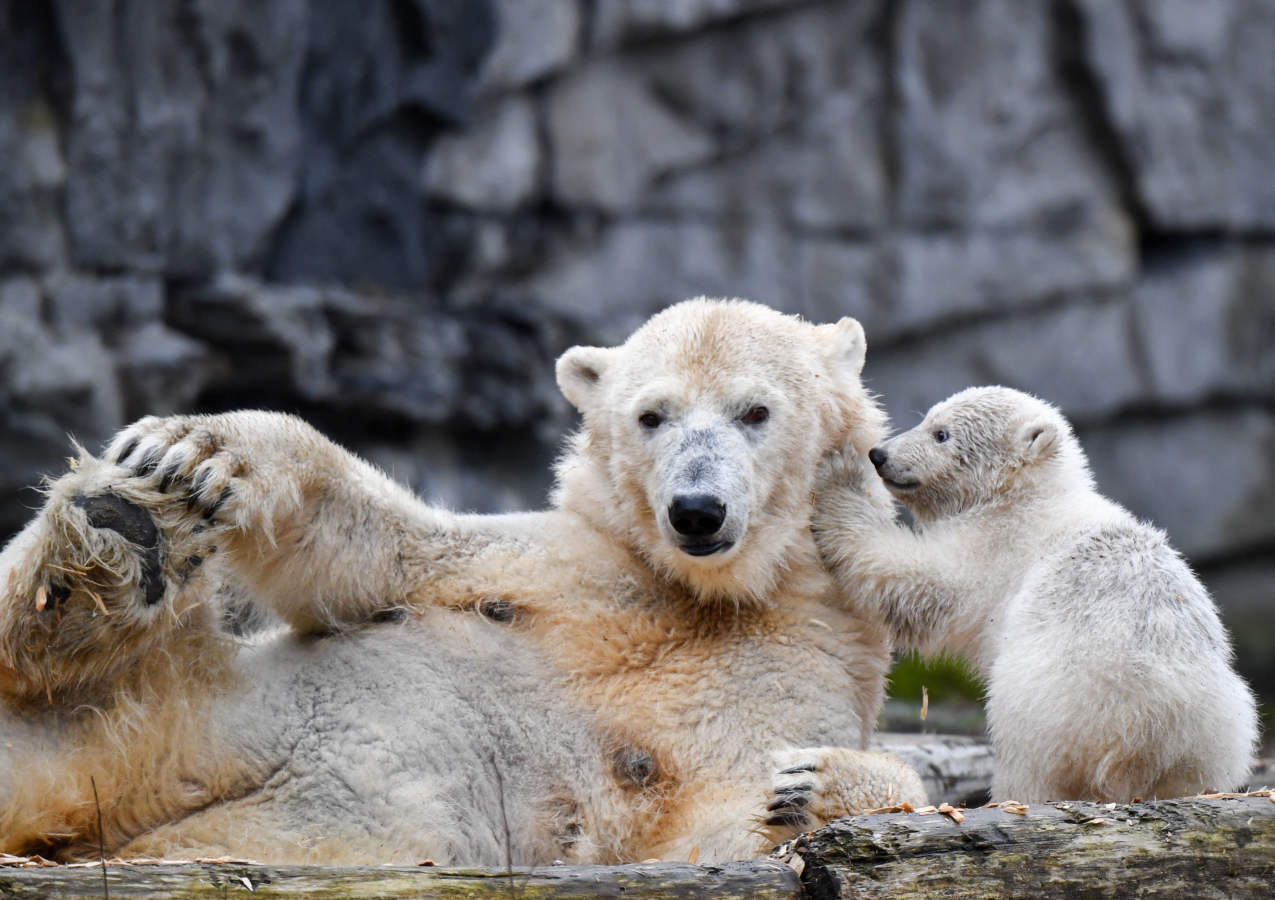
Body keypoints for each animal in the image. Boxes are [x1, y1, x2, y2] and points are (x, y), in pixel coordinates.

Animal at [0, 299, 923, 861]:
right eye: (650, 415)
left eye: (754, 411)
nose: (695, 510)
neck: (705, 593)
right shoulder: (555, 563)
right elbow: (369, 552)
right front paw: (198, 450)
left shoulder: (801, 658)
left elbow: (723, 823)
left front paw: (811, 786)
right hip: (197, 710)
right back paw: (127, 530)